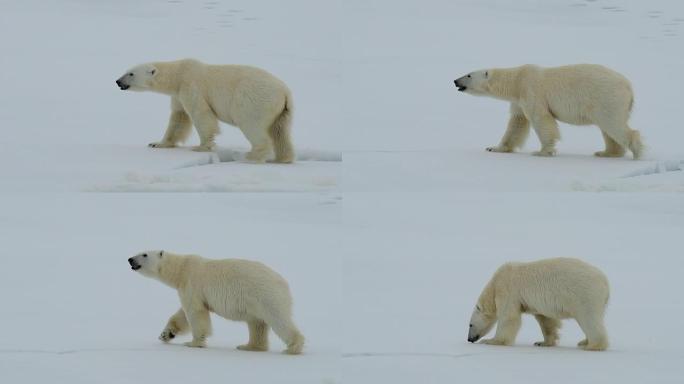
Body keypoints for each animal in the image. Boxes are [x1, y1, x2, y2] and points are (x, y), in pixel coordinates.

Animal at [115, 58, 296, 162]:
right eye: (126, 71)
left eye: (131, 74)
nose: (117, 81)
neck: (178, 75)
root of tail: (285, 92)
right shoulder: (178, 94)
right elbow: (179, 118)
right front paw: (157, 143)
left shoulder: (191, 86)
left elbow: (201, 115)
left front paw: (200, 147)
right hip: (283, 111)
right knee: (280, 132)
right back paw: (283, 158)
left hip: (254, 101)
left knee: (252, 125)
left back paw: (251, 156)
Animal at [128, 250, 304, 356]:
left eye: (144, 254)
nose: (130, 259)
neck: (181, 269)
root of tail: (284, 284)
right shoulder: (189, 290)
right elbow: (182, 314)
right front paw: (166, 334)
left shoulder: (192, 284)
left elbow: (195, 313)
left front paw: (193, 343)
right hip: (256, 303)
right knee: (257, 324)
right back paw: (249, 346)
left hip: (266, 296)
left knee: (279, 320)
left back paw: (293, 347)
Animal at [456, 64, 644, 159]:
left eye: (469, 75)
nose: (455, 81)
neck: (516, 80)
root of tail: (630, 87)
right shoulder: (518, 100)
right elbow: (517, 123)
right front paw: (494, 148)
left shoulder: (531, 90)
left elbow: (541, 119)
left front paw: (542, 152)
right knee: (608, 130)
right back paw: (606, 153)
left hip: (606, 98)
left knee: (613, 125)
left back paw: (637, 152)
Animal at [470, 258, 608, 352]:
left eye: (470, 325)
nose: (469, 339)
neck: (494, 285)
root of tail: (605, 282)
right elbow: (546, 320)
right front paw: (542, 342)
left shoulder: (507, 290)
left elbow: (508, 318)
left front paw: (490, 341)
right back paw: (584, 342)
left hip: (584, 294)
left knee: (588, 318)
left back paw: (592, 346)